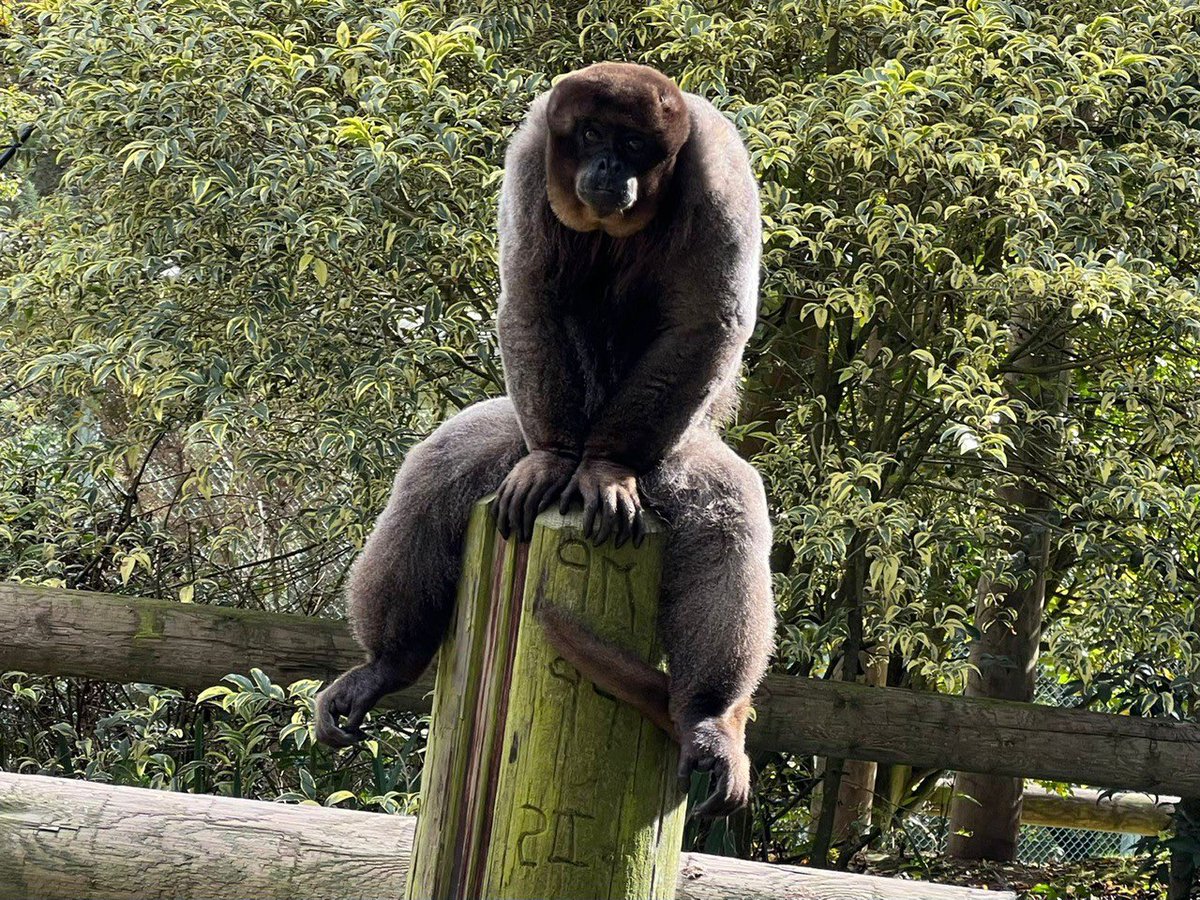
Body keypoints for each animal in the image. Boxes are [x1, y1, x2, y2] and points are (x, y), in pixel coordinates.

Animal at [316, 62, 774, 818]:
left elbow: (707, 319)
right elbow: (530, 291)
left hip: (672, 454)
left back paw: (707, 716)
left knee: (726, 513)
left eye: (633, 144)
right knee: (437, 472)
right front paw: (561, 460)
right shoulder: (533, 153)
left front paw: (605, 466)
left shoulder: (717, 169)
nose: (608, 165)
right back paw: (389, 662)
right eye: (590, 135)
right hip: (517, 434)